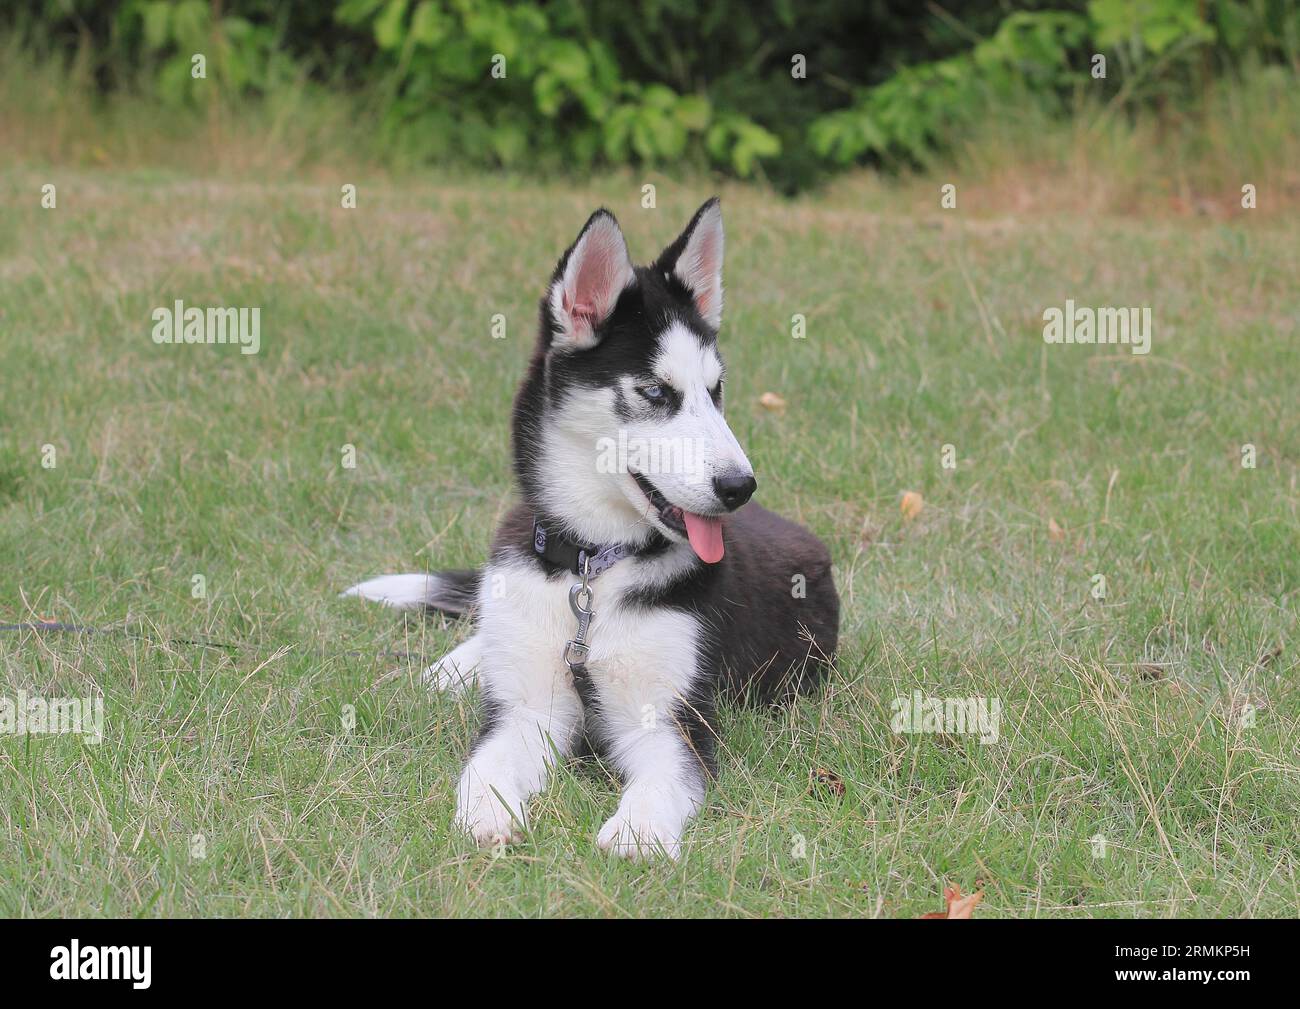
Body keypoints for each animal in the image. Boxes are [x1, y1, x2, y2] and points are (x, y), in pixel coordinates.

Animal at [340, 198, 837, 858]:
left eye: (716, 391)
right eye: (654, 391)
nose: (740, 486)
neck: (592, 568)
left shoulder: (671, 719)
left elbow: (660, 781)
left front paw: (637, 831)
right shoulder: (528, 710)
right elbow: (485, 765)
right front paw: (485, 815)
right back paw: (456, 667)